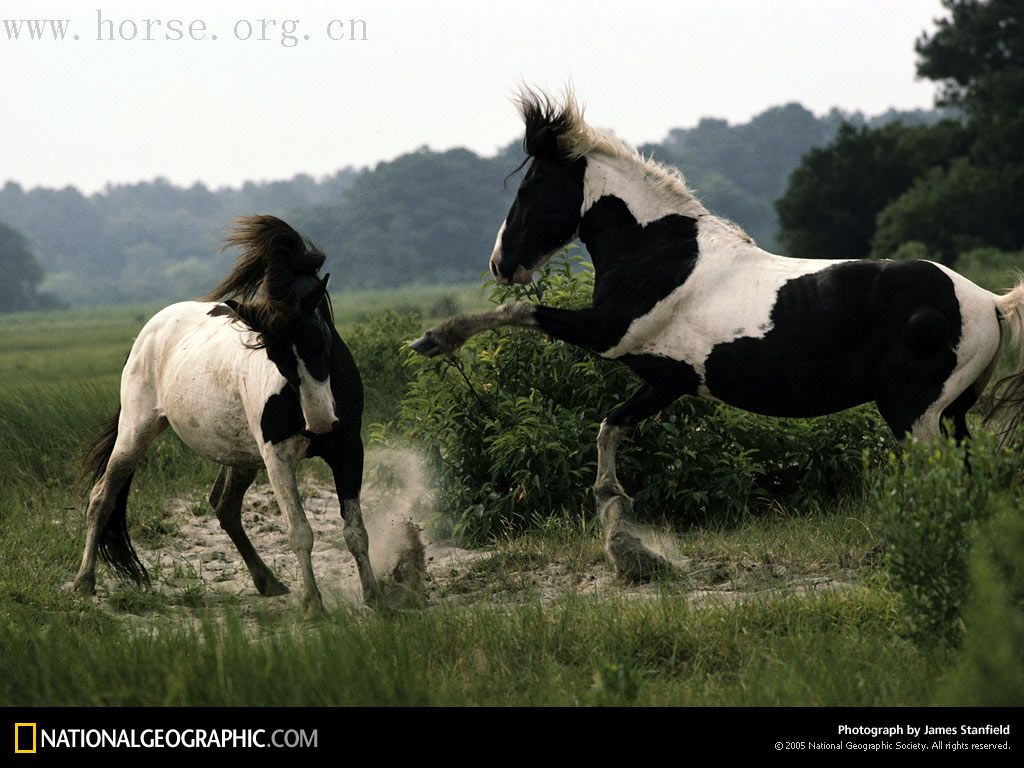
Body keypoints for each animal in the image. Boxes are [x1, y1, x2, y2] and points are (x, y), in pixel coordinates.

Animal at [73, 217, 380, 618]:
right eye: (274, 355)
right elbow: (300, 532)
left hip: (240, 455)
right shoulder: (277, 456)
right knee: (102, 497)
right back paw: (84, 582)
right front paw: (314, 606)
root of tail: (150, 330)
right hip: (136, 432)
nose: (319, 421)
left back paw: (268, 582)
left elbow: (356, 531)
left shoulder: (348, 450)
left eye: (320, 338)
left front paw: (377, 598)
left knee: (225, 506)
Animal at [411, 88, 1024, 581]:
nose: (500, 264)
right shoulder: (665, 379)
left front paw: (435, 339)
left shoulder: (608, 332)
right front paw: (623, 539)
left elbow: (525, 311)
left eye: (531, 188)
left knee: (944, 487)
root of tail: (989, 303)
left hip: (915, 416)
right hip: (952, 416)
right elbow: (610, 427)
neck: (659, 251)